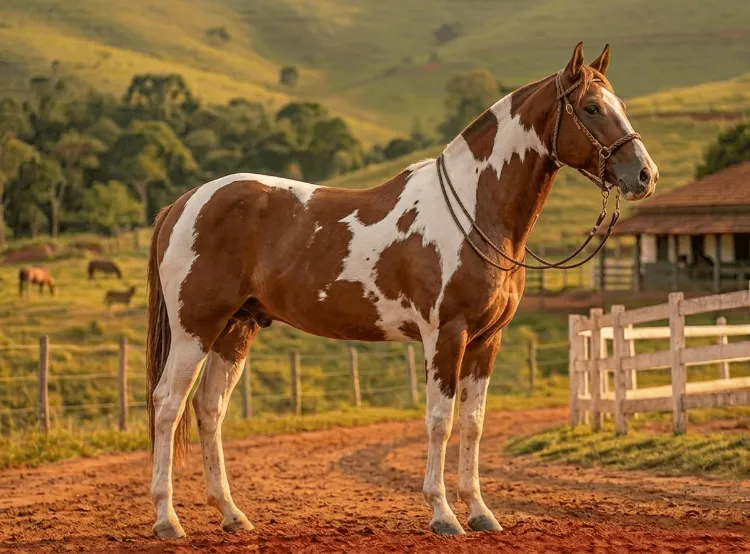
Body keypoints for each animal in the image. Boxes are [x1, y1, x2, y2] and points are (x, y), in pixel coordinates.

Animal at [146, 42, 658, 539]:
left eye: (620, 104)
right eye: (591, 107)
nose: (644, 175)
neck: (474, 210)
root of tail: (182, 203)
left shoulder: (486, 340)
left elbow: (473, 425)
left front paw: (480, 512)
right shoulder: (446, 335)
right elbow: (440, 422)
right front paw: (443, 515)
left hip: (236, 328)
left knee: (209, 409)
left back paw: (232, 515)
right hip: (196, 329)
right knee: (167, 405)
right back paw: (167, 519)